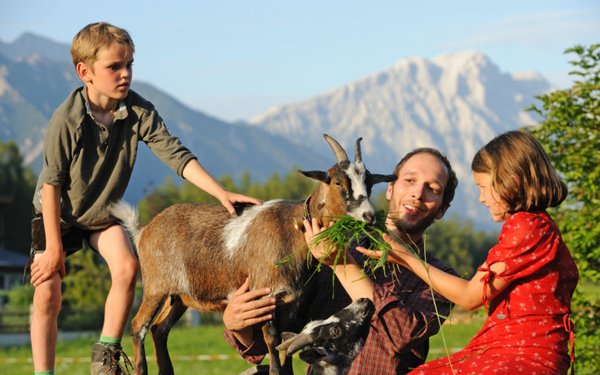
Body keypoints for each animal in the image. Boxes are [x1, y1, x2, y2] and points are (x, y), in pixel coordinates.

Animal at [112, 135, 394, 375]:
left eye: (369, 184)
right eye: (337, 182)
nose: (368, 216)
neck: (291, 232)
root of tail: (144, 231)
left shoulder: (292, 303)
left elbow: (285, 344)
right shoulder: (266, 294)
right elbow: (272, 340)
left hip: (179, 297)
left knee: (160, 329)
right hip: (155, 287)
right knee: (138, 326)